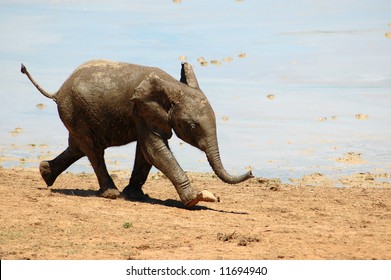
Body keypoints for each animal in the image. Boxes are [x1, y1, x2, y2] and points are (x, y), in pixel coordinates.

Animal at [21, 60, 254, 207]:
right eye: (193, 126)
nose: (251, 172)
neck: (171, 86)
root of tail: (57, 91)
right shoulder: (140, 111)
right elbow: (155, 150)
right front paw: (195, 199)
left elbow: (146, 153)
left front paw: (136, 195)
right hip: (75, 111)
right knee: (94, 150)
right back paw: (111, 194)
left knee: (78, 147)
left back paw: (45, 173)